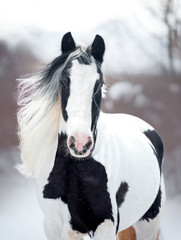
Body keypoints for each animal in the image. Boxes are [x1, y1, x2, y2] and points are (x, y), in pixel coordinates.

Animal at [17, 32, 165, 240]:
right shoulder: (55, 227)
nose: (80, 143)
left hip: (148, 222)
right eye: (64, 81)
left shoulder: (105, 227)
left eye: (99, 83)